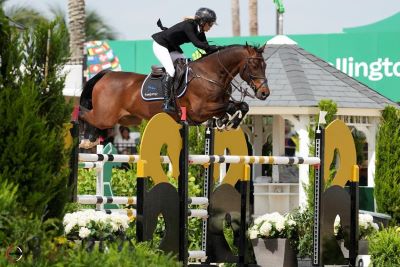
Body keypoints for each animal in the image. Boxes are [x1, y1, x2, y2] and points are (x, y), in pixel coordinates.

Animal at [79, 44, 268, 149]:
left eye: (264, 65)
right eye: (254, 65)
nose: (264, 93)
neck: (211, 74)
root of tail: (106, 74)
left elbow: (241, 106)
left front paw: (228, 123)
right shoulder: (199, 111)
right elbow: (231, 106)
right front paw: (228, 122)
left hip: (126, 118)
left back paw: (91, 139)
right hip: (106, 116)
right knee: (83, 114)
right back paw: (86, 139)